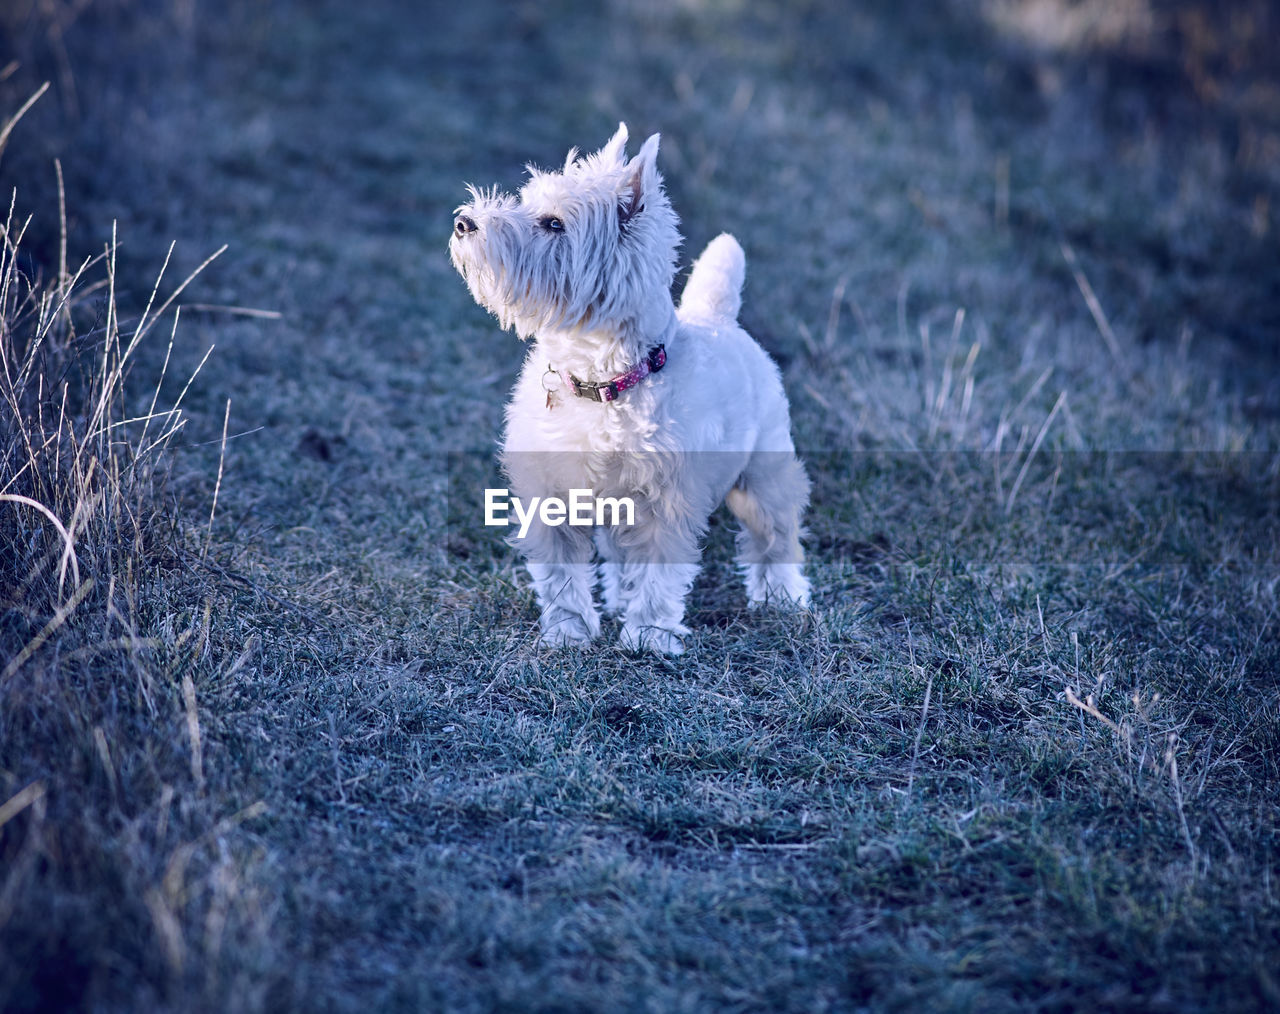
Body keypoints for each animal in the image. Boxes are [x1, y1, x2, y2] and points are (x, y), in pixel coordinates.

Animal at [453, 122, 808, 652]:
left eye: (553, 224)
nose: (464, 222)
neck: (601, 381)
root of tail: (718, 317)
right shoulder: (554, 495)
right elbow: (562, 577)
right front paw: (567, 633)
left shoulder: (668, 502)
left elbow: (659, 574)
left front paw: (649, 636)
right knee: (621, 556)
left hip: (763, 474)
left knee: (775, 535)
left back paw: (784, 599)